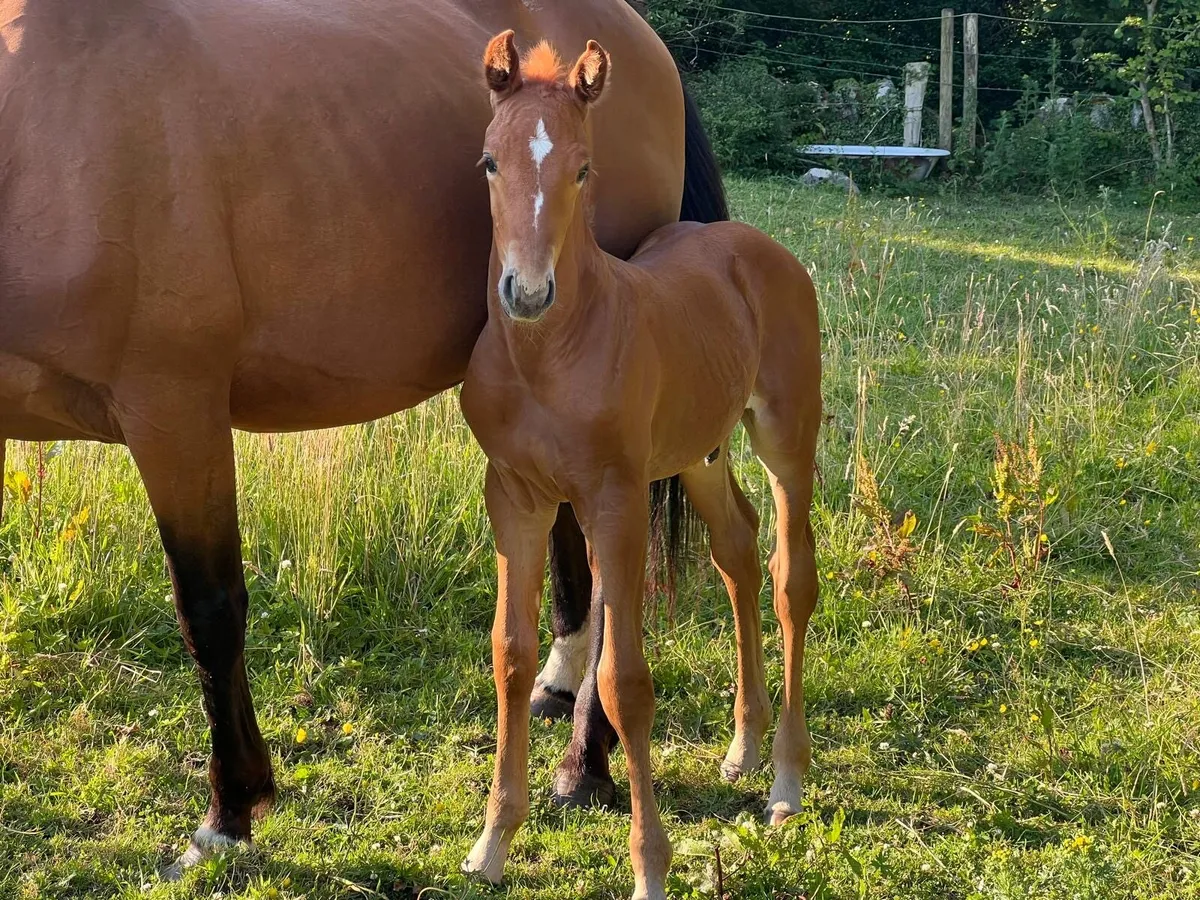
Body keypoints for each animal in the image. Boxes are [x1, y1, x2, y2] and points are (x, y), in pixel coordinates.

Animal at [0, 0, 726, 876]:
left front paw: (230, 810)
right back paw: (557, 690)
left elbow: (210, 610)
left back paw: (587, 764)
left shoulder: (175, 412)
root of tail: (642, 43)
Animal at [459, 33, 822, 899]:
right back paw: (744, 747)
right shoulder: (514, 495)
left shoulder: (614, 502)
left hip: (787, 433)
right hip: (696, 450)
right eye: (490, 162)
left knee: (792, 576)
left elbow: (624, 681)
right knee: (738, 549)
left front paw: (649, 867)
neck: (549, 354)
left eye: (583, 168)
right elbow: (511, 656)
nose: (526, 291)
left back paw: (786, 781)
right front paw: (492, 842)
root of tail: (755, 243)